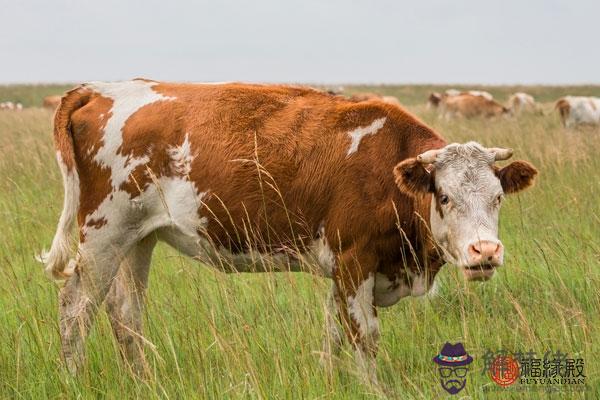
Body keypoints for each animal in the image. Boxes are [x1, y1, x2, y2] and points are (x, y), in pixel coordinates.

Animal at [38, 79, 540, 382]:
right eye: (445, 197)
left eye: (498, 197)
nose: (484, 251)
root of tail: (99, 89)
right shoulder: (354, 261)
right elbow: (364, 336)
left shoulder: (341, 272)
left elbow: (333, 334)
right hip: (103, 234)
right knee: (75, 309)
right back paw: (73, 379)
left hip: (138, 238)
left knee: (126, 314)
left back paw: (142, 380)